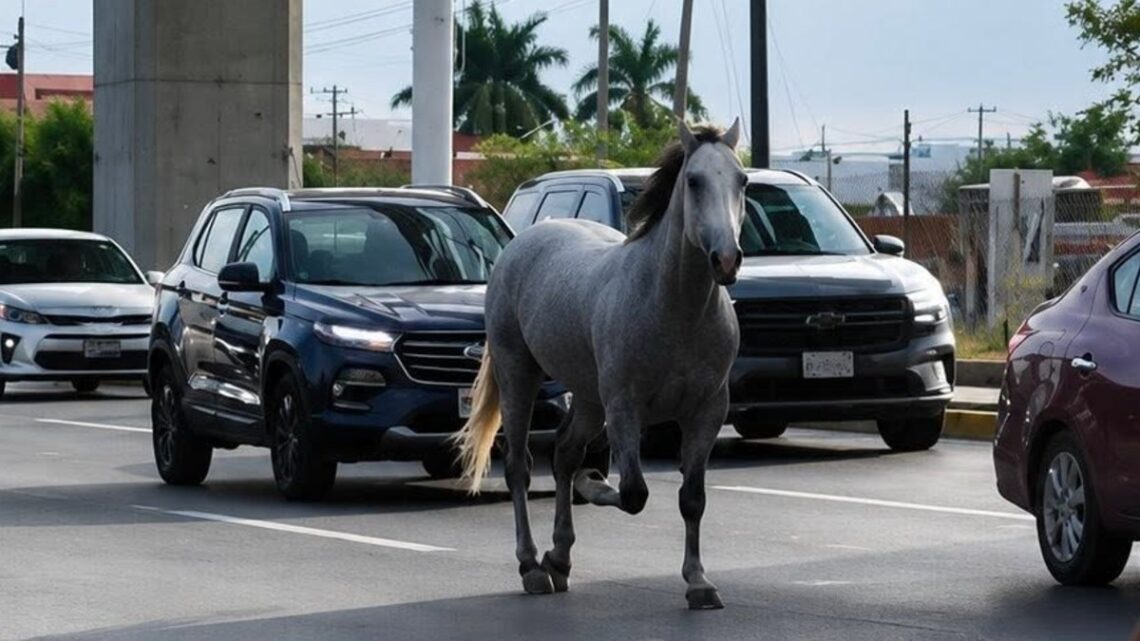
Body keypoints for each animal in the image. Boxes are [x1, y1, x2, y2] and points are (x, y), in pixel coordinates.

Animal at [454, 118, 746, 610]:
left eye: (742, 181)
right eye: (694, 180)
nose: (726, 259)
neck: (675, 309)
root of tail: (524, 240)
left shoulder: (708, 410)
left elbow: (692, 498)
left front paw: (699, 582)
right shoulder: (624, 406)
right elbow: (634, 492)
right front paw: (593, 482)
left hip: (589, 398)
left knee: (564, 454)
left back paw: (559, 559)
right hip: (519, 375)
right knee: (519, 467)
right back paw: (533, 565)